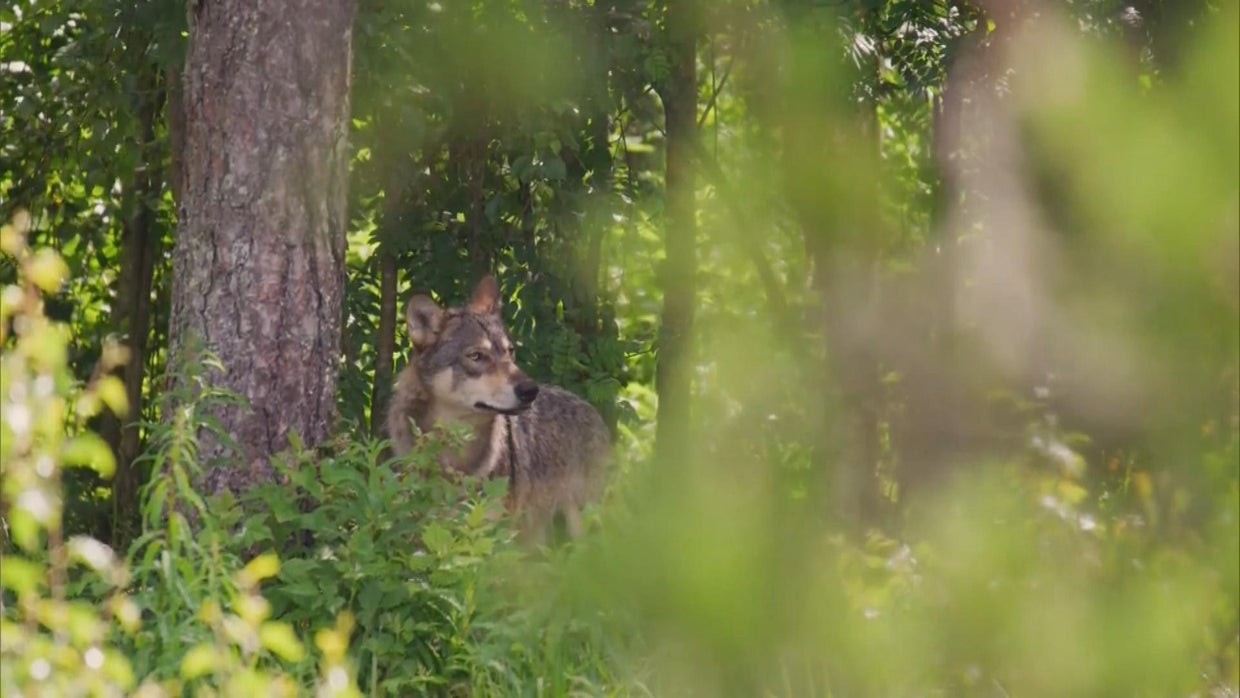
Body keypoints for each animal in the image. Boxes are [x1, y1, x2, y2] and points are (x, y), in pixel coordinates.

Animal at [385, 275, 612, 545]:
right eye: (476, 356)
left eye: (509, 351)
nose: (530, 390)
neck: (457, 456)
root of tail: (591, 409)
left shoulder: (494, 535)